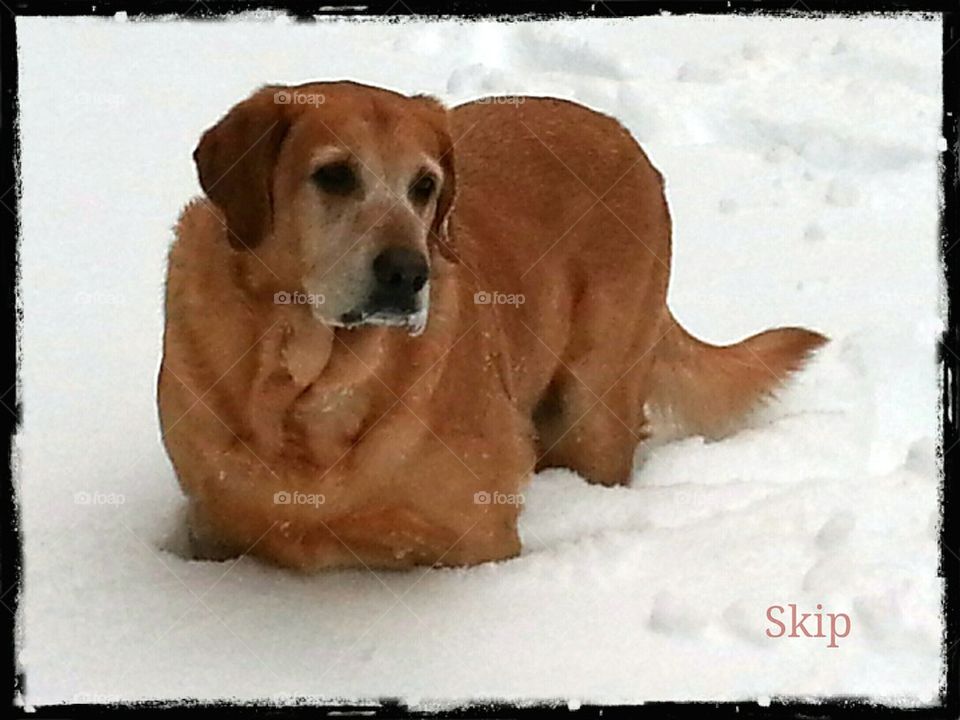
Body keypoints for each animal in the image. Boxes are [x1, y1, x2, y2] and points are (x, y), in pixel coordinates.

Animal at [158, 83, 824, 568]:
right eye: (335, 175)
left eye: (424, 185)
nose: (409, 273)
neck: (303, 390)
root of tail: (623, 135)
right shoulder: (210, 526)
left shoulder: (482, 537)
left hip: (594, 406)